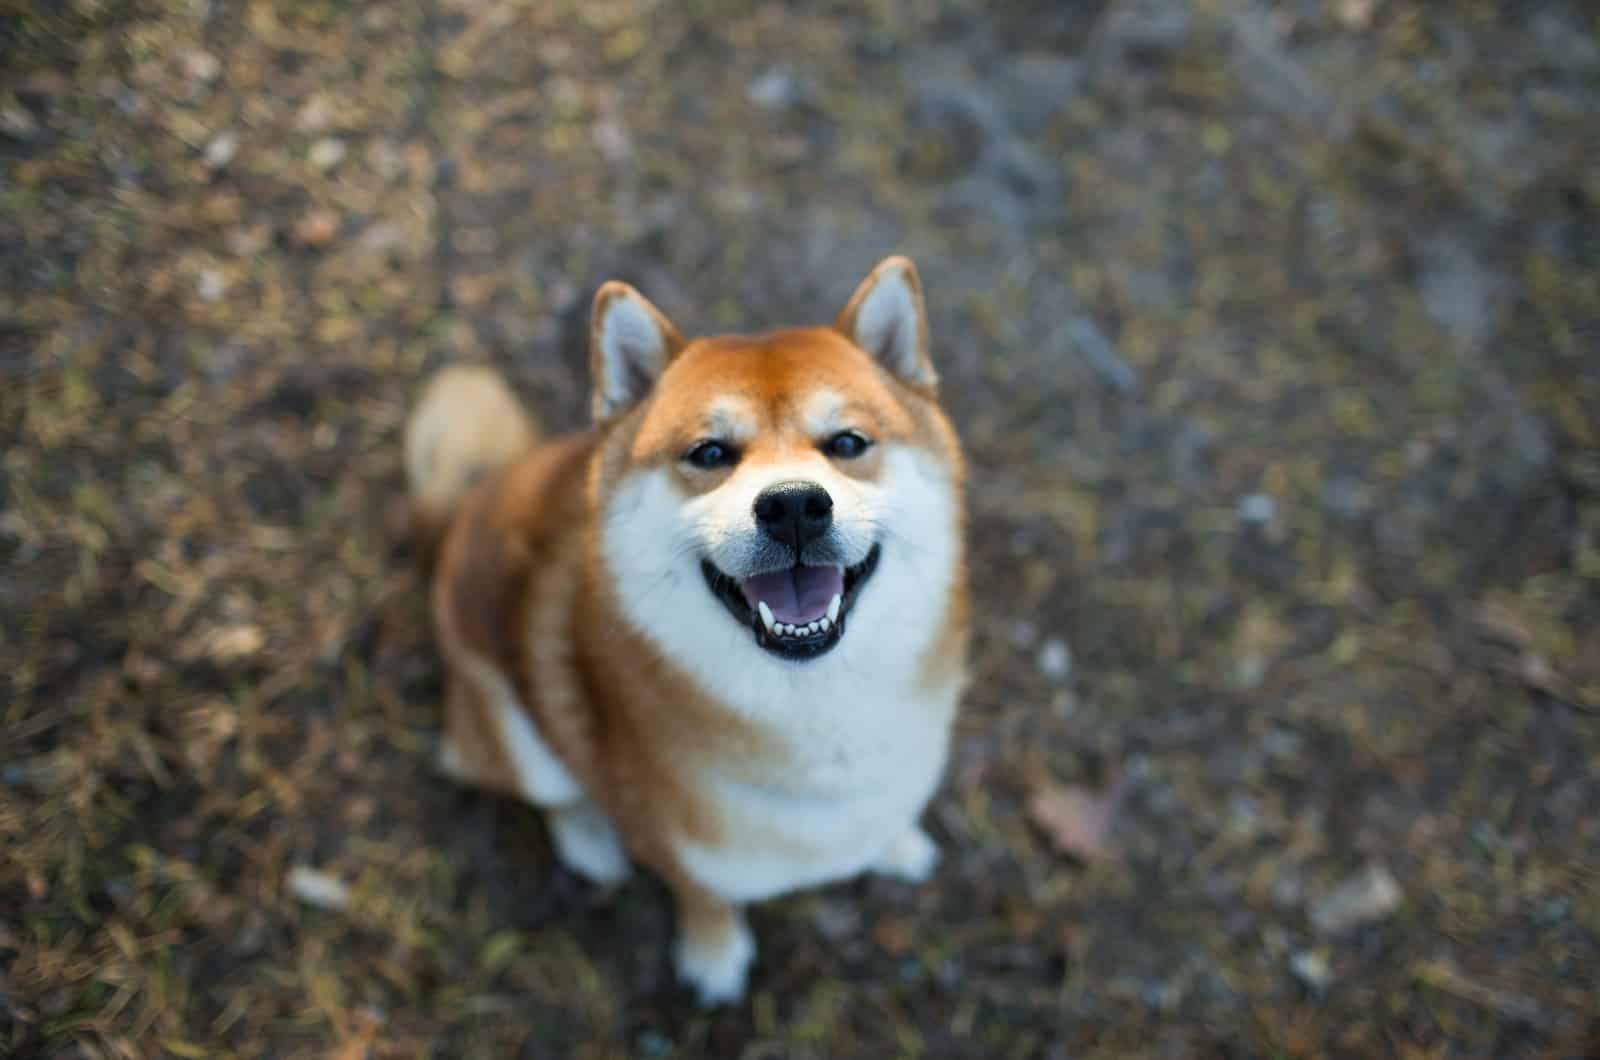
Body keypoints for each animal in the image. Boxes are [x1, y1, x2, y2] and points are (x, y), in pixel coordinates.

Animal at [406, 257, 966, 1005]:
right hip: (510, 729)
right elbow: (704, 895)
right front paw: (714, 956)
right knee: (552, 790)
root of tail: (462, 513)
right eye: (709, 453)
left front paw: (895, 843)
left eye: (848, 443)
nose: (794, 506)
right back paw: (591, 839)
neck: (812, 710)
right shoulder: (677, 851)